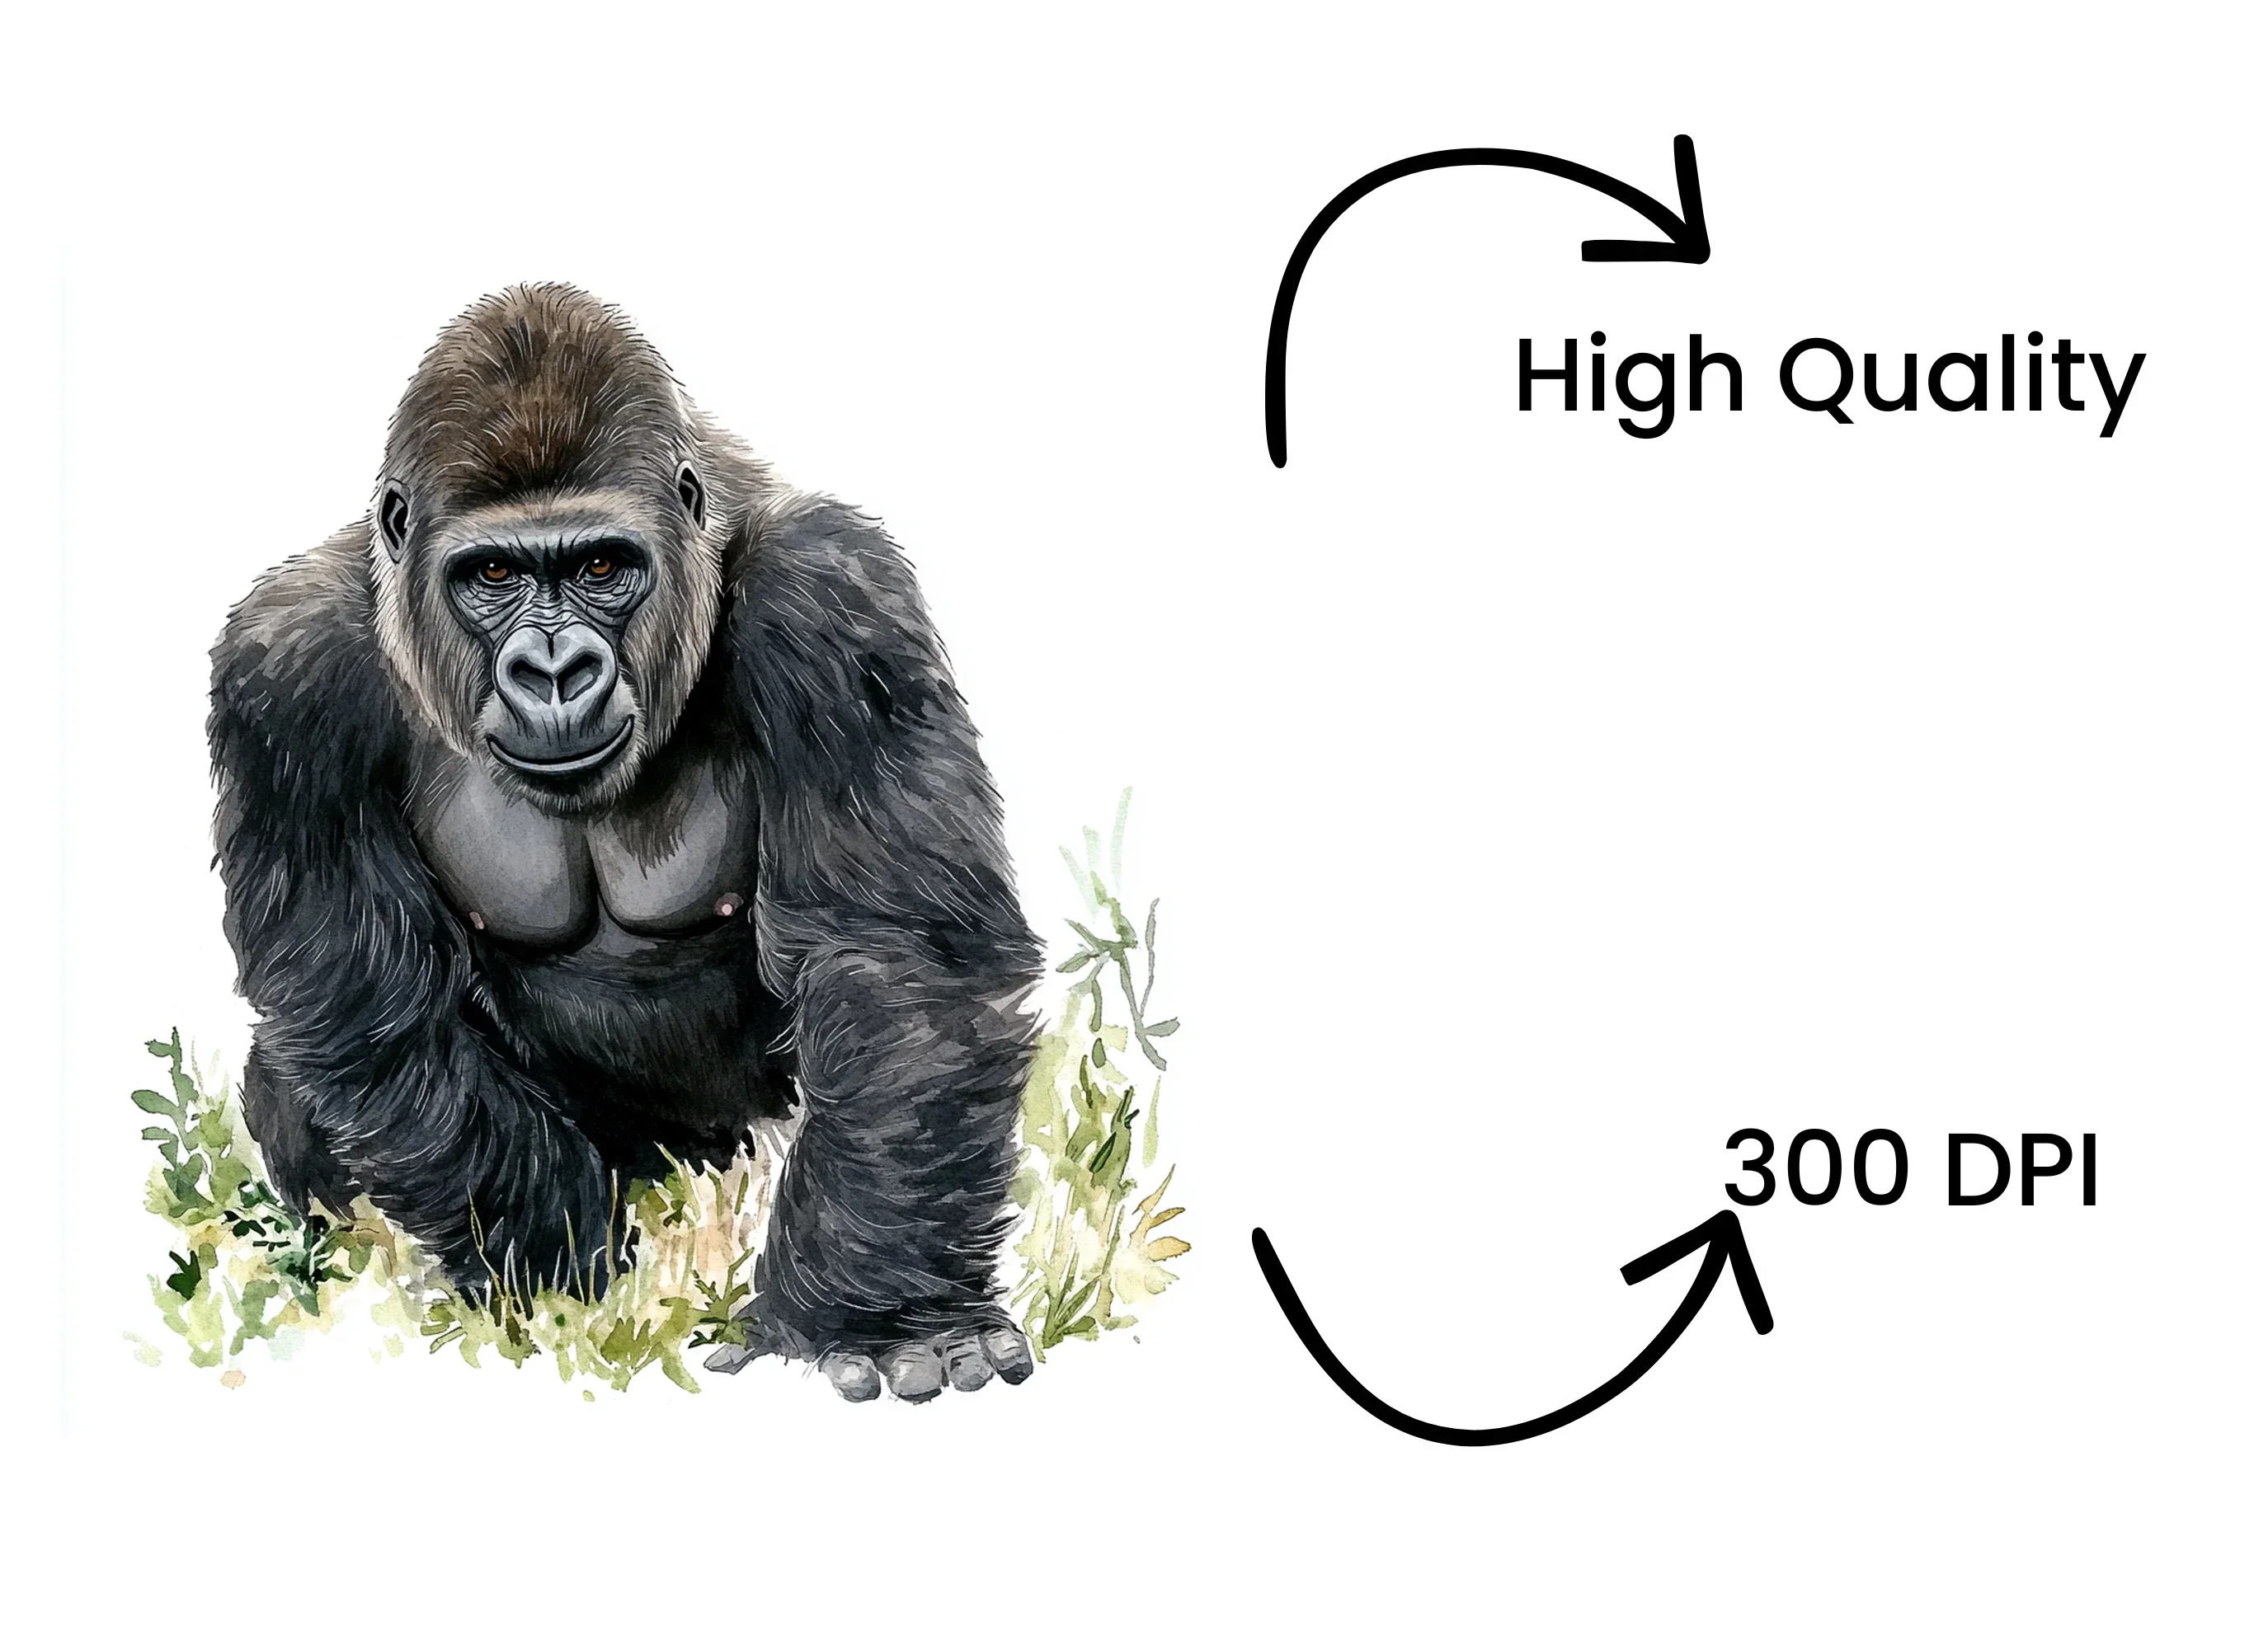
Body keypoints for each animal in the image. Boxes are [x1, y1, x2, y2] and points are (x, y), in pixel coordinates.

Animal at [209, 283, 1040, 1402]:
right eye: (492, 573)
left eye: (603, 565)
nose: (555, 670)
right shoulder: (281, 672)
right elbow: (369, 1010)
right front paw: (561, 1279)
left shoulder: (836, 595)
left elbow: (894, 961)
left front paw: (879, 1317)